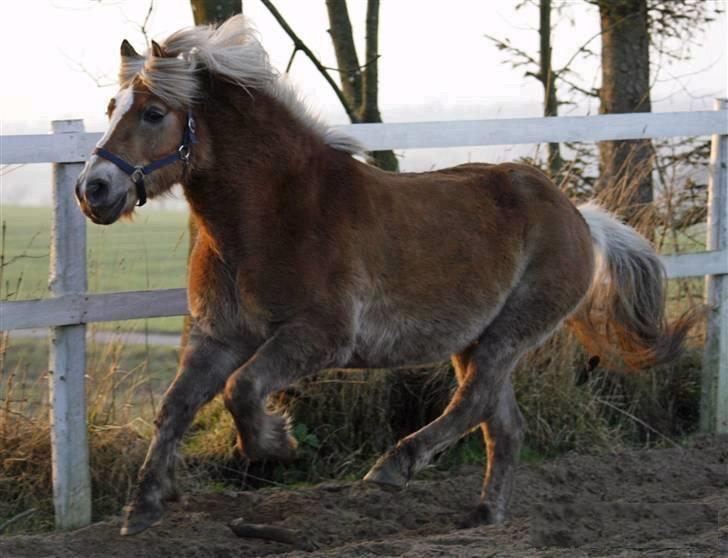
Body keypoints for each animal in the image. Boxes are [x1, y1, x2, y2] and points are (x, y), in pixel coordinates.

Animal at [74, 14, 692, 540]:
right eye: (110, 107)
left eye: (154, 113)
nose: (92, 189)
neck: (272, 213)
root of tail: (579, 217)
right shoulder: (219, 336)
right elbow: (175, 407)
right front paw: (143, 507)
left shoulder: (320, 336)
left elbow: (241, 390)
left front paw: (277, 441)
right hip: (475, 340)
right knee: (502, 423)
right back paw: (484, 514)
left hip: (510, 332)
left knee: (472, 404)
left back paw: (394, 467)